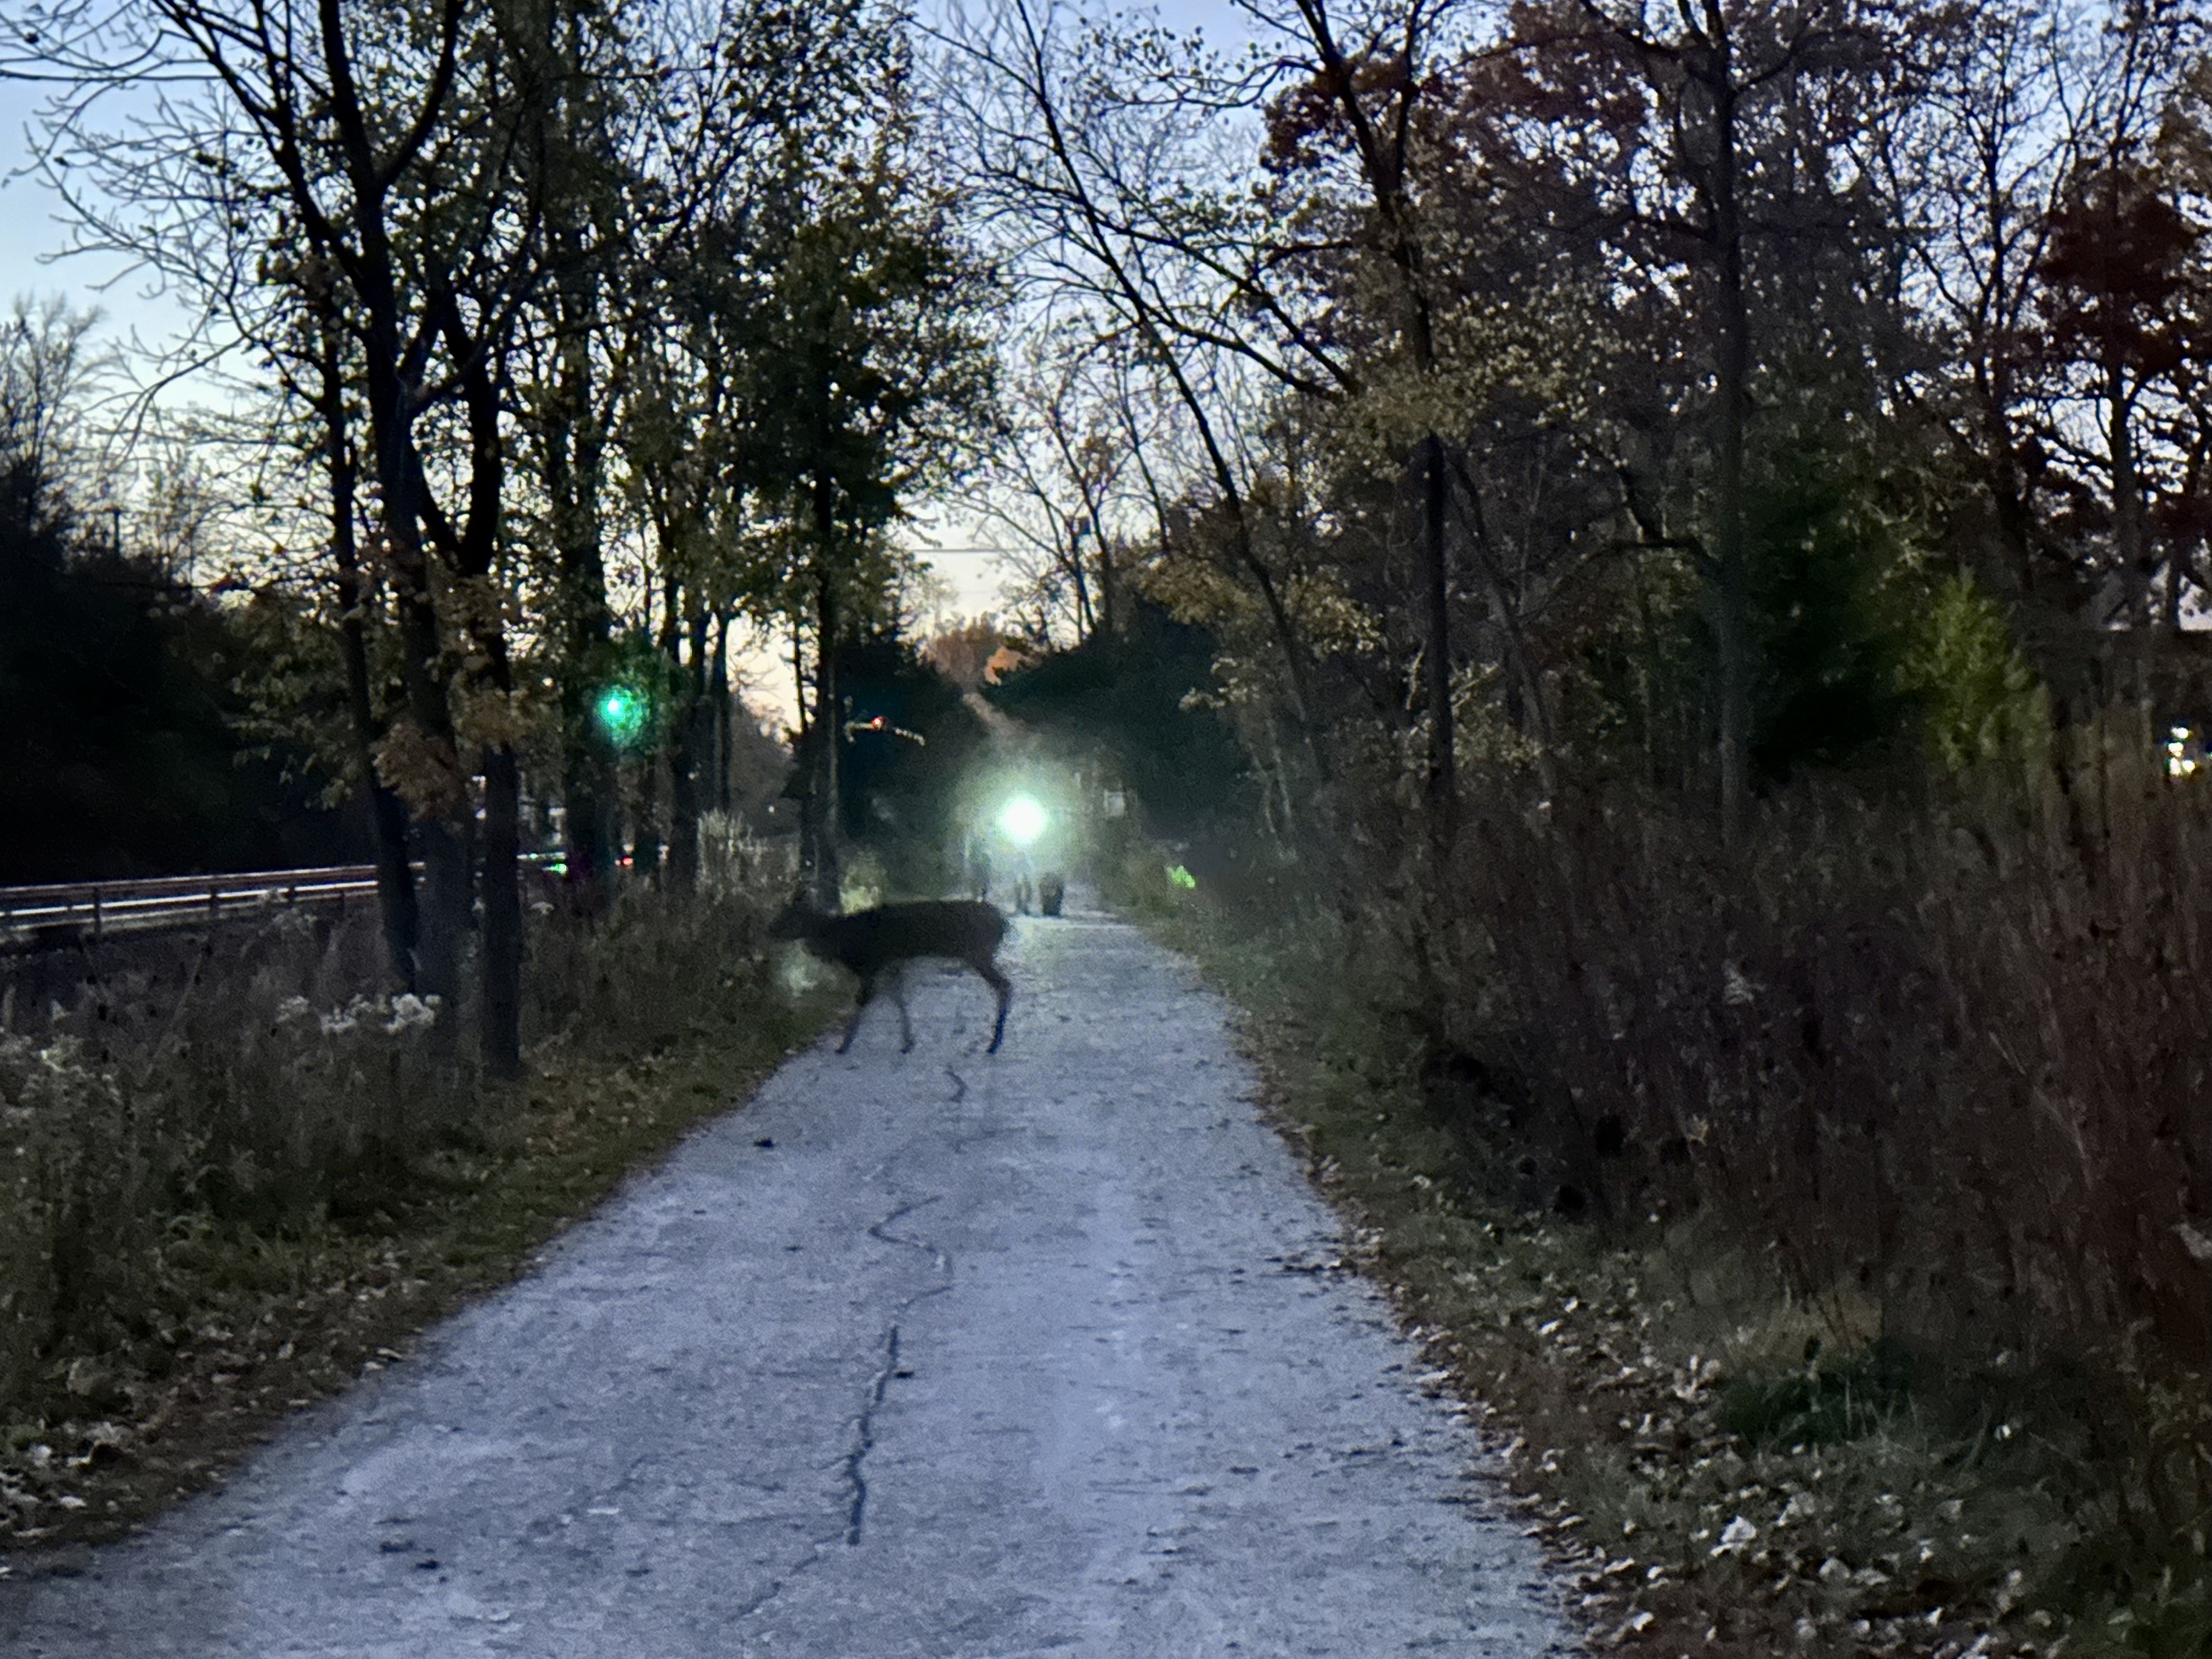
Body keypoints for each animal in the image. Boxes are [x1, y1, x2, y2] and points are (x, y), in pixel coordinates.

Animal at [774, 902, 1013, 1057]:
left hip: (978, 952)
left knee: (1004, 985)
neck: (841, 944)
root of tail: (1003, 923)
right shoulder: (889, 967)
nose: (769, 930)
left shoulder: (872, 966)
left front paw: (843, 1046)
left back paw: (994, 1044)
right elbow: (898, 999)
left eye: (789, 917)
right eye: (782, 915)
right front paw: (908, 1042)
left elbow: (864, 1002)